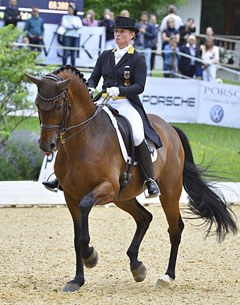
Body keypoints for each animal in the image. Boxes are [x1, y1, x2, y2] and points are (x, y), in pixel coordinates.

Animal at [24, 67, 238, 292]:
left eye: (58, 105)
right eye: (37, 104)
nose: (47, 146)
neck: (83, 141)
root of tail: (170, 127)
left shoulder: (106, 188)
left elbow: (85, 211)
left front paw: (90, 256)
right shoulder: (71, 197)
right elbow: (76, 237)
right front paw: (77, 280)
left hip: (169, 192)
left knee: (175, 228)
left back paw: (167, 276)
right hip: (123, 198)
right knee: (145, 218)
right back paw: (137, 266)